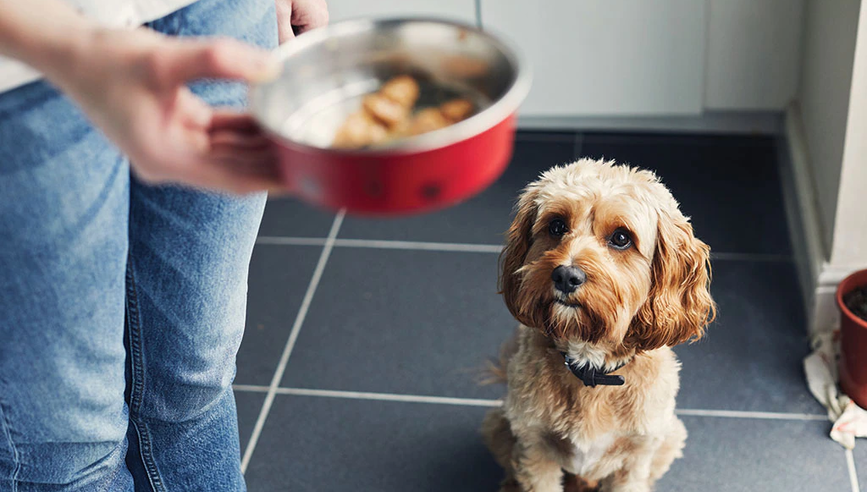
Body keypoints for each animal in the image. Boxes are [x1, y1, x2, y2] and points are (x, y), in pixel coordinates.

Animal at [484, 160, 716, 490]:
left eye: (621, 238)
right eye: (557, 226)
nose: (566, 276)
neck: (591, 368)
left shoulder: (636, 456)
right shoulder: (534, 446)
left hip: (670, 437)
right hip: (499, 426)